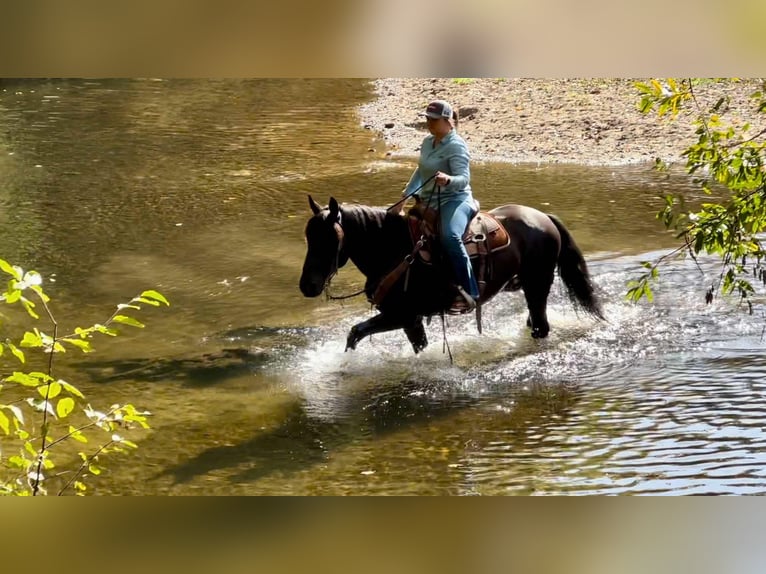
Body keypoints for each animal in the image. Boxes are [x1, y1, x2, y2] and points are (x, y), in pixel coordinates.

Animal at [300, 196, 608, 354]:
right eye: (308, 236)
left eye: (328, 239)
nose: (306, 286)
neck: (396, 250)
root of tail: (544, 218)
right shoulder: (409, 320)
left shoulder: (402, 315)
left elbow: (355, 333)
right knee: (533, 322)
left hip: (538, 283)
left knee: (541, 327)